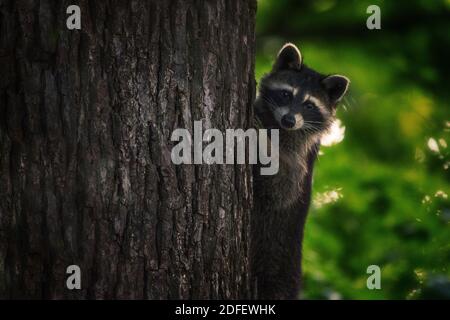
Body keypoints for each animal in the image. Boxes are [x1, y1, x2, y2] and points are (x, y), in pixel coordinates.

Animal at [251, 43, 350, 300]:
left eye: (309, 105)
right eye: (286, 94)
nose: (289, 120)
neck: (277, 125)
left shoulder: (299, 159)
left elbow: (282, 187)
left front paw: (260, 140)